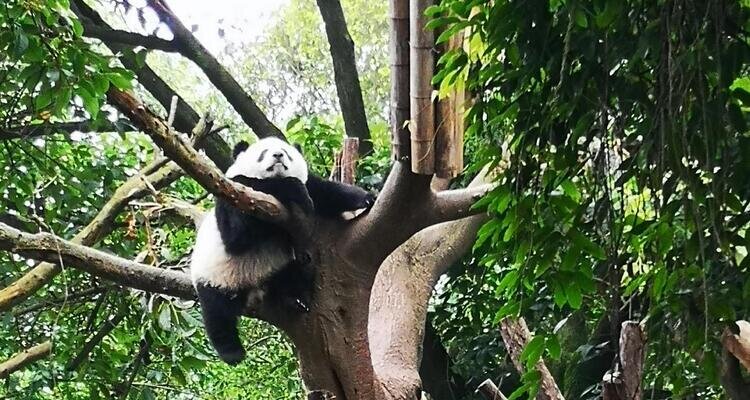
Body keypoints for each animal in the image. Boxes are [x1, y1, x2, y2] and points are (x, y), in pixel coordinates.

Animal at [190, 137, 374, 365]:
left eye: (287, 152)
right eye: (263, 152)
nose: (278, 155)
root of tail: (254, 285)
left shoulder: (313, 187)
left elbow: (327, 192)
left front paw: (366, 198)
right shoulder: (233, 191)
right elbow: (237, 234)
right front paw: (291, 189)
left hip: (278, 266)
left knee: (295, 271)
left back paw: (295, 298)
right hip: (216, 276)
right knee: (217, 312)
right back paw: (232, 351)